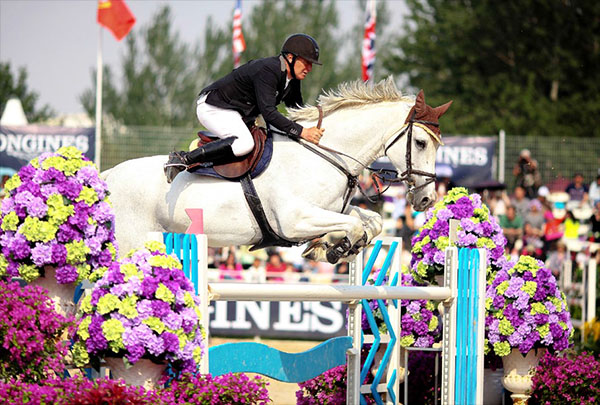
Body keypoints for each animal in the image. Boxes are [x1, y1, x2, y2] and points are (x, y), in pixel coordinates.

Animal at [102, 77, 452, 263]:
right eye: (421, 142)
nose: (426, 200)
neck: (324, 155)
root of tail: (107, 177)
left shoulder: (330, 209)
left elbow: (371, 221)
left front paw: (339, 246)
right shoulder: (294, 220)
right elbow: (352, 225)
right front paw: (335, 249)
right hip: (130, 243)